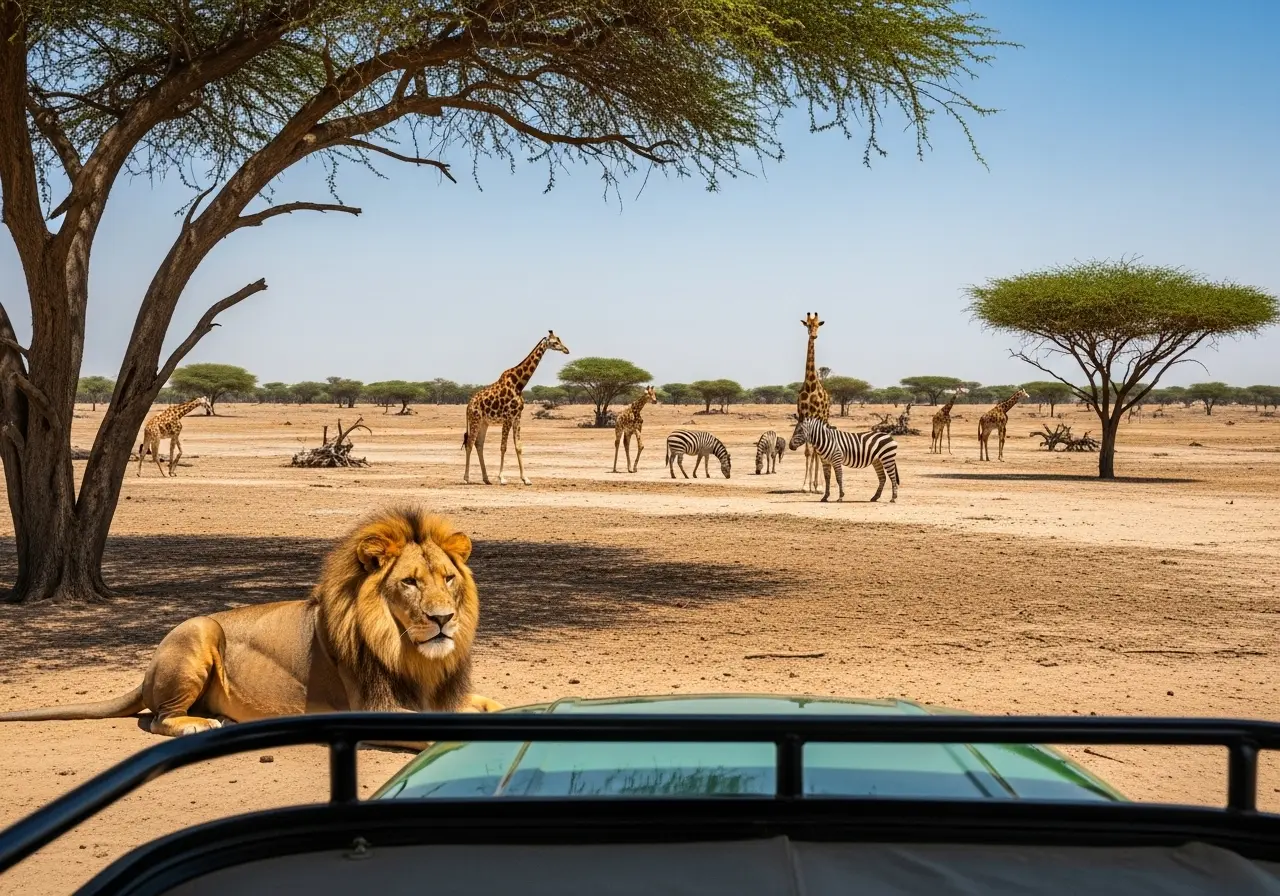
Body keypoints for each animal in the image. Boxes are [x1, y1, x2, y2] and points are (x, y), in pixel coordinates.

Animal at [0, 507, 502, 737]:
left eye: (448, 579)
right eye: (410, 583)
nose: (444, 619)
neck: (412, 653)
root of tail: (144, 675)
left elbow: (494, 705)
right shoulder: (374, 708)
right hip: (199, 630)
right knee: (159, 719)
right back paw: (199, 725)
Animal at [463, 330, 570, 485]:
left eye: (560, 340)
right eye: (555, 342)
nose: (566, 350)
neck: (519, 384)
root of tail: (468, 405)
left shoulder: (517, 416)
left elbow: (518, 446)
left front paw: (526, 479)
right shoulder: (508, 417)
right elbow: (503, 447)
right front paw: (502, 478)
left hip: (484, 422)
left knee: (479, 444)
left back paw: (486, 479)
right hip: (475, 419)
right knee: (470, 443)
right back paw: (466, 478)